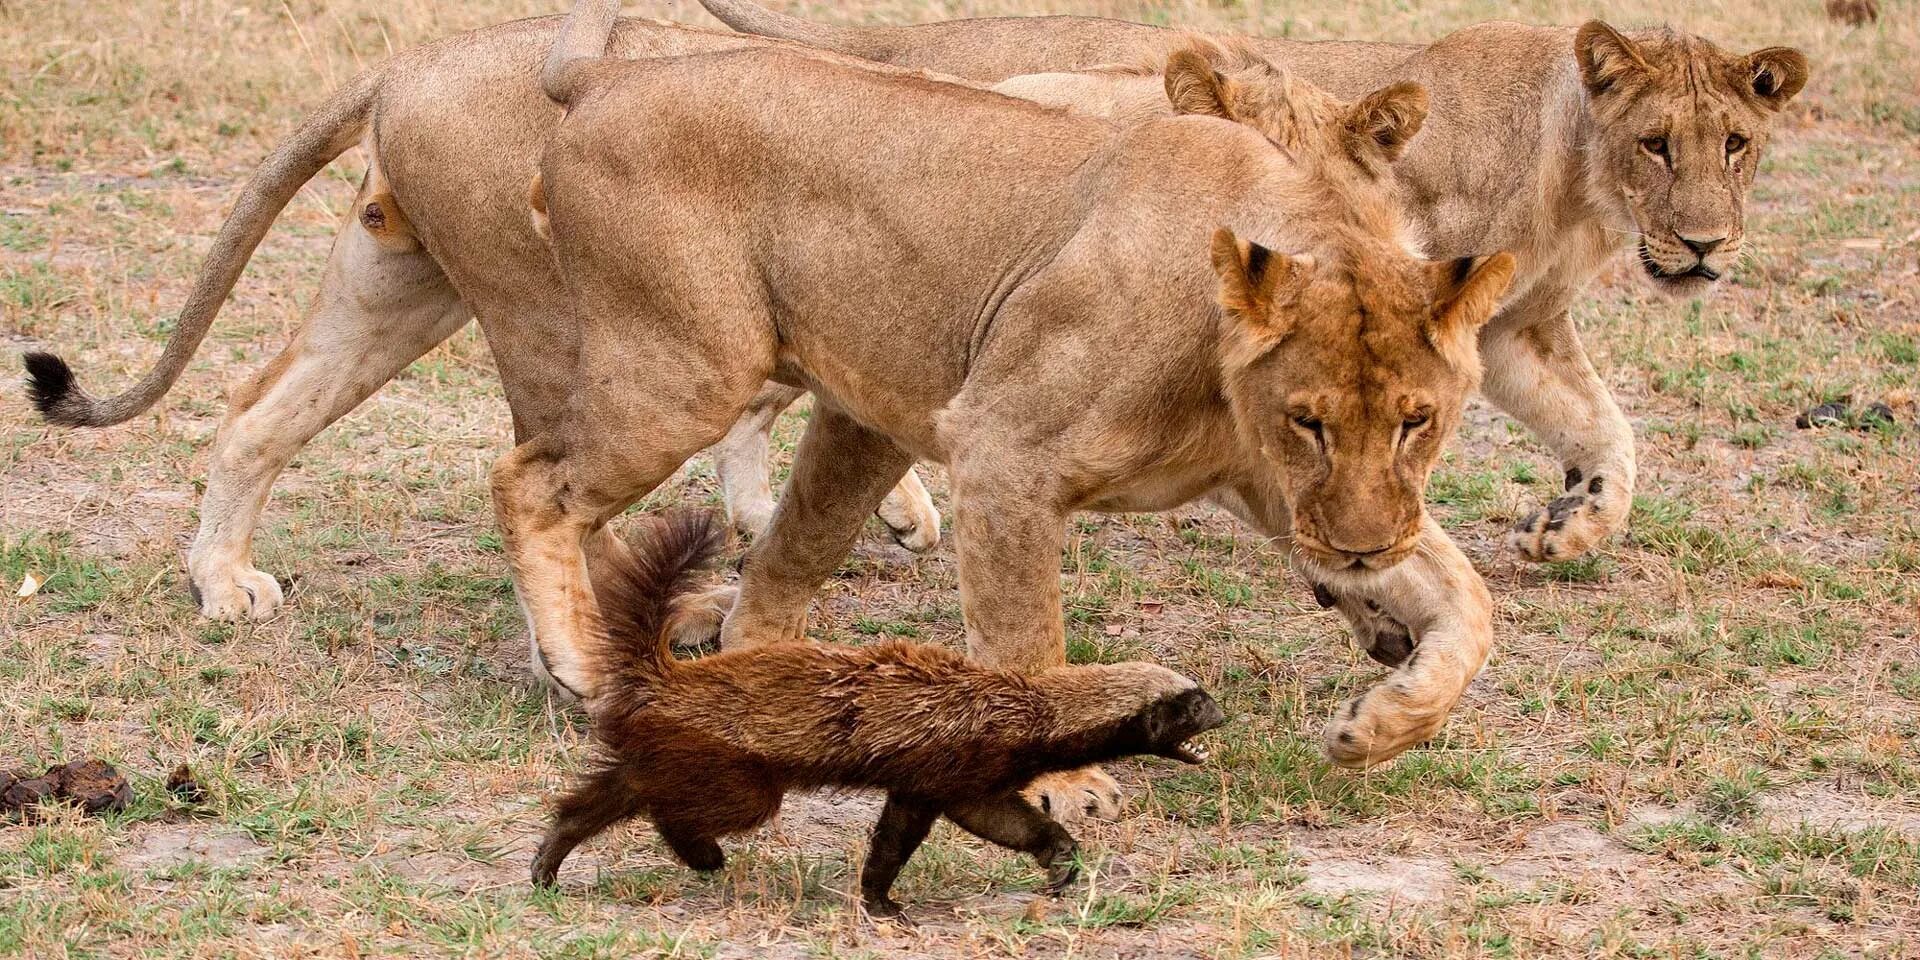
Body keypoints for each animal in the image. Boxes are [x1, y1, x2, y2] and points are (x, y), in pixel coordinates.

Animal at [495, 0, 1512, 825]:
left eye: (1418, 421)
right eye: (1310, 421)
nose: (1361, 555)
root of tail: (610, 76)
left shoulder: (1293, 495)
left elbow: (1468, 597)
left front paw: (1380, 726)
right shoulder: (1002, 451)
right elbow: (1027, 640)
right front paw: (1063, 784)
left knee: (740, 543)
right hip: (686, 372)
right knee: (529, 479)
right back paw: (579, 663)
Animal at [698, 0, 1804, 564]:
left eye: (1736, 144)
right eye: (1657, 144)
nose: (1703, 245)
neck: (1571, 174)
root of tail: (912, 44)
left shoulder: (1510, 330)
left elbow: (1607, 430)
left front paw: (1573, 526)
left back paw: (778, 516)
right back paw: (880, 511)